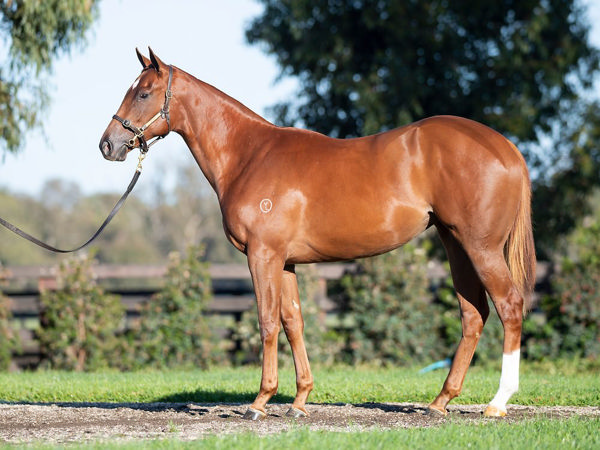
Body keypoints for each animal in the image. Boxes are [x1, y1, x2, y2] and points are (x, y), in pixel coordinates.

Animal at [101, 51, 536, 420]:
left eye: (143, 92)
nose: (108, 145)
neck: (249, 155)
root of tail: (506, 148)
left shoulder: (263, 255)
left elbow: (267, 322)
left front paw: (260, 402)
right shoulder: (286, 262)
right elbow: (293, 321)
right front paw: (299, 401)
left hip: (480, 247)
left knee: (509, 306)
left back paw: (497, 403)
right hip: (455, 244)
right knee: (473, 314)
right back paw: (440, 401)